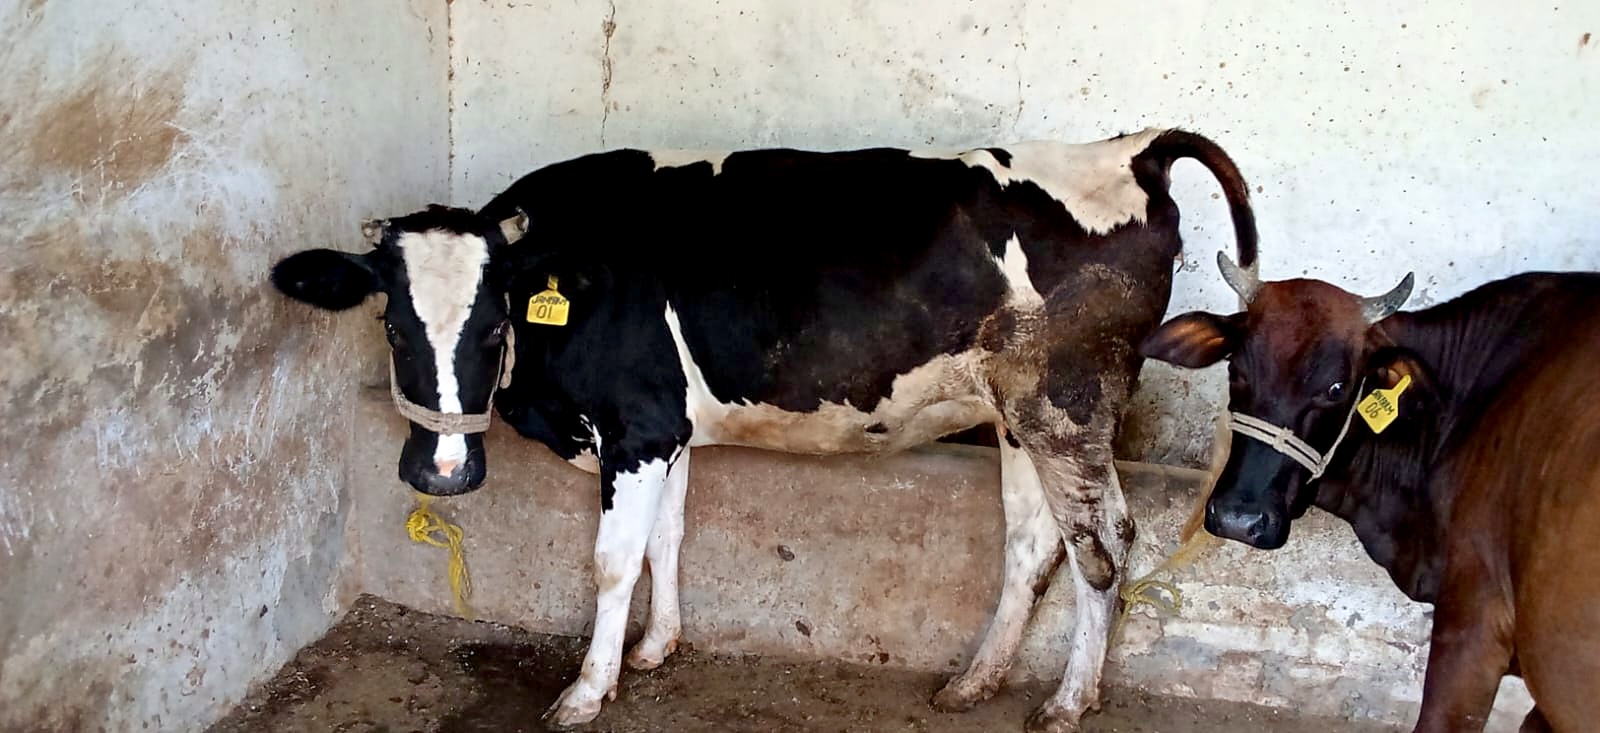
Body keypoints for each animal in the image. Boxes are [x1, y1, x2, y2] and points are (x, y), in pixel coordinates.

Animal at [269, 127, 1259, 732]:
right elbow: (667, 538)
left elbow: (613, 559)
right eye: (393, 326)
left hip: (1069, 405)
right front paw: (656, 648)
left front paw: (587, 688)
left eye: (489, 326)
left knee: (1105, 543)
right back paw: (975, 679)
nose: (441, 472)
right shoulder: (665, 429)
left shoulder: (634, 425)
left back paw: (1068, 700)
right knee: (1033, 542)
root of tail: (1130, 149)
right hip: (1018, 414)